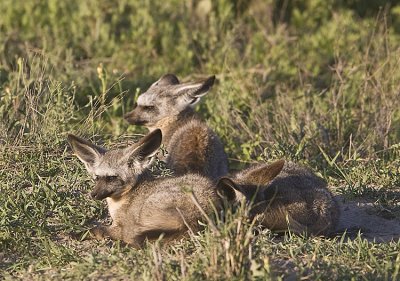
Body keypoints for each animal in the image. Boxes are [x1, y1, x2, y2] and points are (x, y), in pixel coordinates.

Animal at [67, 128, 220, 246]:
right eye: (97, 178)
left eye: (111, 178)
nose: (93, 194)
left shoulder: (121, 227)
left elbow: (97, 229)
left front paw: (78, 233)